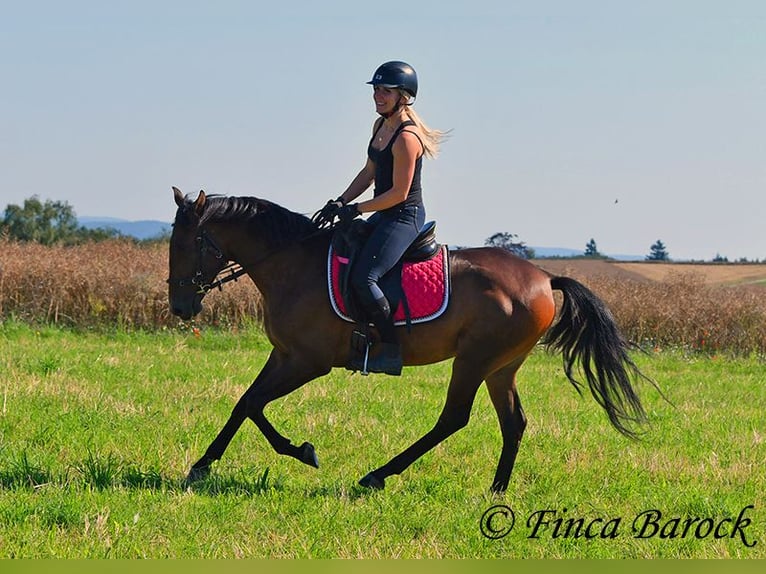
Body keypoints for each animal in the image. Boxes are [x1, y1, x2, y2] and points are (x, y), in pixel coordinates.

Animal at [166, 189, 656, 496]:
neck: (292, 264)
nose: (180, 306)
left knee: (454, 418)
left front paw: (302, 452)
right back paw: (496, 489)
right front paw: (203, 464)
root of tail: (542, 277)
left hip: (475, 360)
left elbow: (254, 404)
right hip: (501, 367)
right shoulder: (284, 354)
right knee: (513, 422)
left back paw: (378, 475)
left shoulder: (308, 361)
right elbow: (244, 402)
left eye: (185, 246)